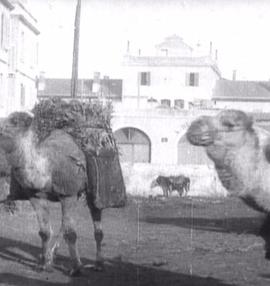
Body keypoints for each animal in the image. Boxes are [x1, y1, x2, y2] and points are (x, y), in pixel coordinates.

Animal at [0, 111, 105, 274]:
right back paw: (52, 255)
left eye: (15, 121)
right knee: (64, 224)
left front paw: (76, 268)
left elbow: (71, 233)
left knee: (95, 218)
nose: (0, 128)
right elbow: (44, 232)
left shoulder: (68, 194)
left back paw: (98, 264)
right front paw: (43, 264)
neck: (45, 170)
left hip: (90, 190)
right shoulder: (36, 196)